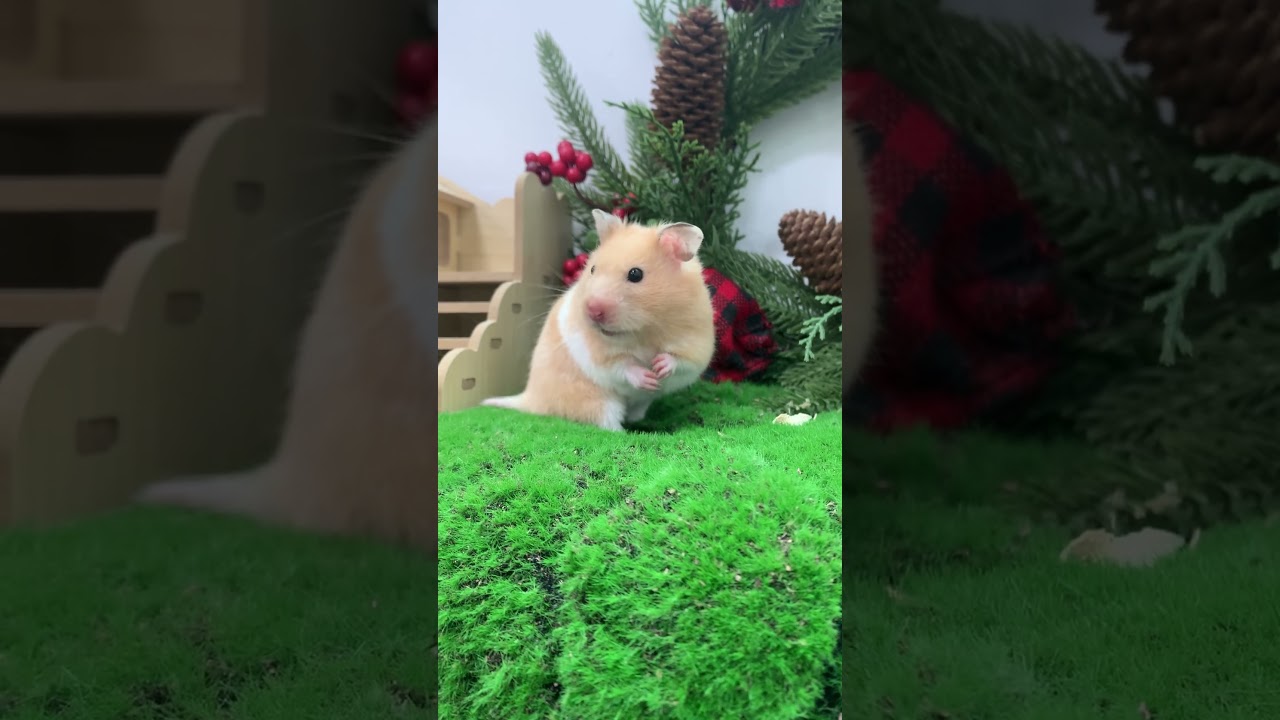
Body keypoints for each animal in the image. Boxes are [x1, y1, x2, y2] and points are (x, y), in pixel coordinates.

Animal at [483, 209, 715, 431]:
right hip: (598, 402)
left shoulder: (697, 344)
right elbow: (622, 366)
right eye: (592, 269)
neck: (643, 330)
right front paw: (648, 378)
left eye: (636, 274)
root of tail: (531, 397)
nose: (592, 310)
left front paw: (659, 366)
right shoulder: (598, 356)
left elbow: (681, 361)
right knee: (606, 423)